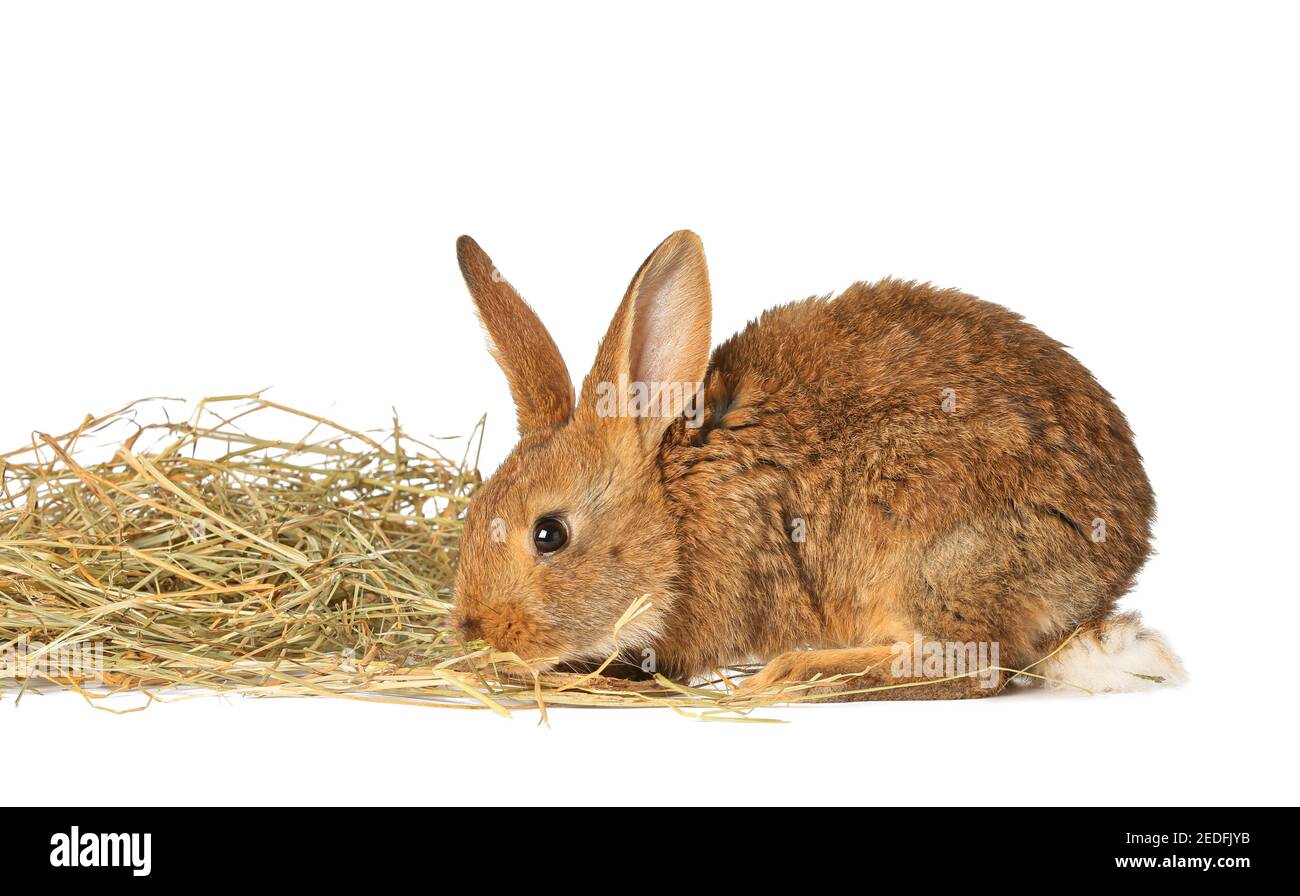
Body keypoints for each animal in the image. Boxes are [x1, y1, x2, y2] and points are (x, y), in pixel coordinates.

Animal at [450, 231, 1185, 699]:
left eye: (549, 534)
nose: (474, 629)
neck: (673, 506)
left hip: (937, 561)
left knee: (968, 668)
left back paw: (791, 677)